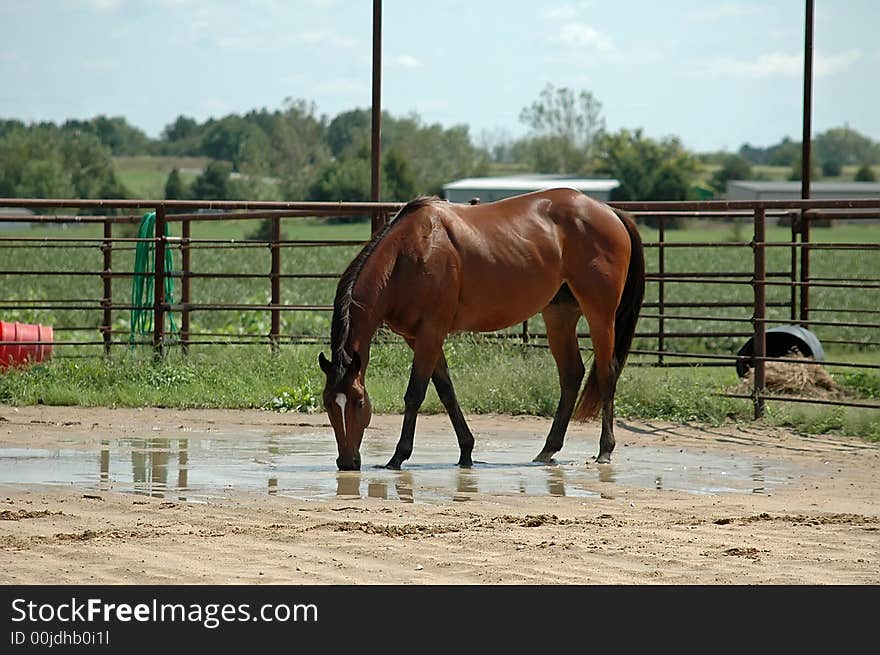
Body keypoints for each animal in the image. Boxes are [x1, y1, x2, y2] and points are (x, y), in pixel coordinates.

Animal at [320, 188, 644, 472]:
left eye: (360, 402)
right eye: (328, 404)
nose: (346, 462)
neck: (407, 255)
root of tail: (609, 211)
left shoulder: (431, 332)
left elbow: (415, 393)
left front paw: (398, 457)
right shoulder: (418, 338)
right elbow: (446, 391)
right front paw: (466, 451)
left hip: (600, 315)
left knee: (607, 373)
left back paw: (604, 450)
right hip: (559, 315)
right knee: (571, 374)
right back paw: (547, 450)